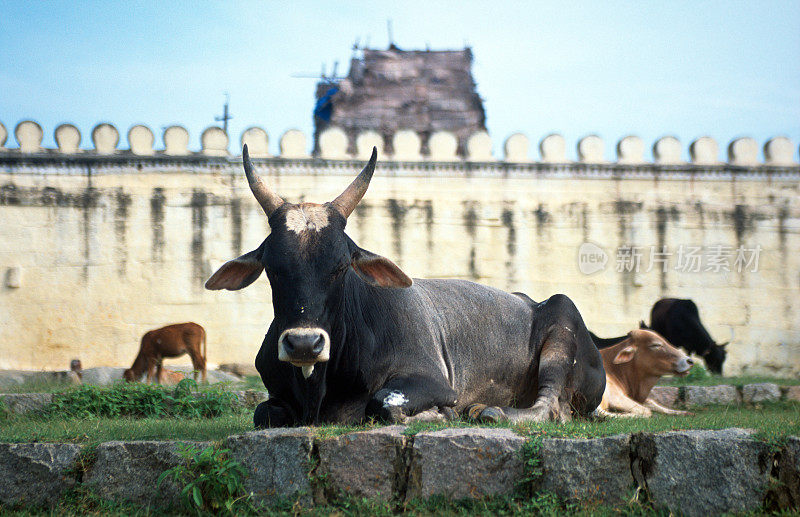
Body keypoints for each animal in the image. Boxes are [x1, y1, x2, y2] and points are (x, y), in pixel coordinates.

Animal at [206, 146, 608, 428]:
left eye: (341, 267)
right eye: (273, 269)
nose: (304, 344)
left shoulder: (432, 381)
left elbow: (382, 403)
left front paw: (439, 415)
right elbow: (263, 413)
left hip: (562, 321)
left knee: (551, 407)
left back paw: (490, 412)